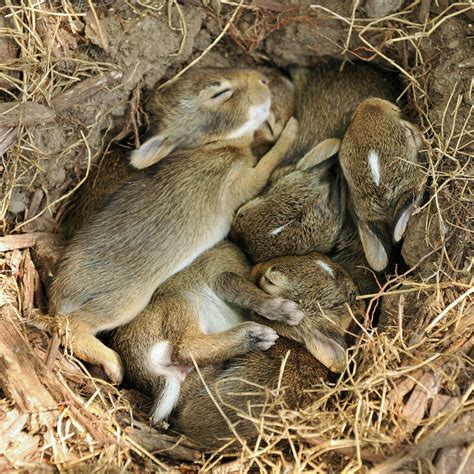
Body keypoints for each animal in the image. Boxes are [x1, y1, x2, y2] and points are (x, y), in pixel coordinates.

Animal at [50, 66, 298, 384]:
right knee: (71, 325)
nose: (263, 79)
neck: (214, 145)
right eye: (219, 93)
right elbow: (269, 161)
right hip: (126, 301)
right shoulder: (238, 180)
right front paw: (291, 130)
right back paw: (113, 364)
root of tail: (58, 294)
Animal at [108, 241, 304, 422]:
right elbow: (249, 293)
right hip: (184, 301)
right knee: (185, 347)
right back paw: (256, 336)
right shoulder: (224, 277)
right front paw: (287, 311)